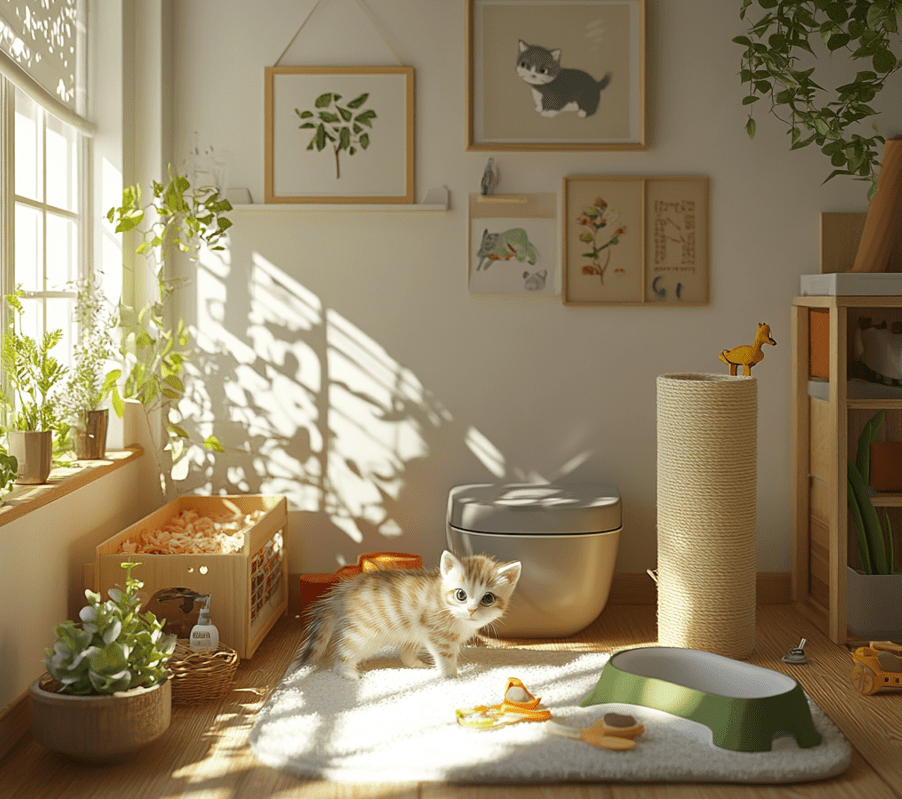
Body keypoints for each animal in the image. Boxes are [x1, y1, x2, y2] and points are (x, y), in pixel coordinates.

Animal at [296, 552, 524, 680]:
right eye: (461, 595)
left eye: (488, 598)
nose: (471, 609)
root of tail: (344, 589)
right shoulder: (438, 636)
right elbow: (446, 658)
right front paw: (452, 677)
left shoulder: (424, 633)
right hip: (364, 633)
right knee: (344, 650)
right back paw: (347, 673)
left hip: (410, 631)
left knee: (405, 653)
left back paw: (417, 665)